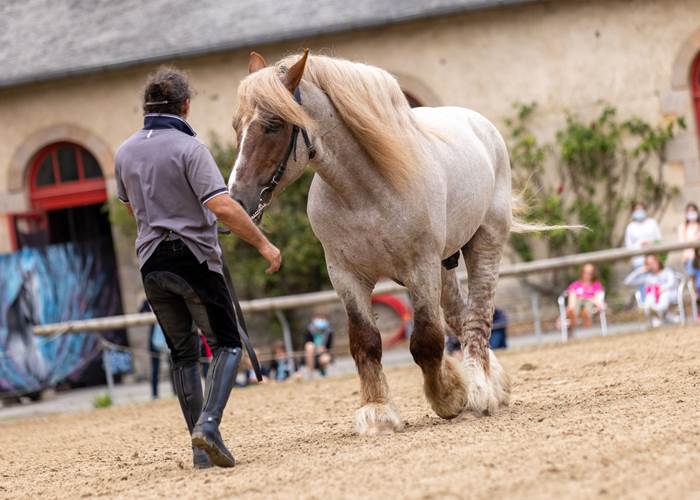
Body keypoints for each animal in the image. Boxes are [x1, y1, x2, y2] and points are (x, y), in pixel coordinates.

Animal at [229, 50, 519, 435]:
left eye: (273, 124)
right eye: (237, 126)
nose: (235, 201)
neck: (365, 192)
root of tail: (480, 125)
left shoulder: (420, 268)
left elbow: (426, 341)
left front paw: (449, 396)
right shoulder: (346, 276)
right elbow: (365, 342)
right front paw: (378, 412)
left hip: (483, 244)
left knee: (478, 318)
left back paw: (481, 390)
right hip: (444, 268)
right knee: (460, 315)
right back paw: (491, 382)